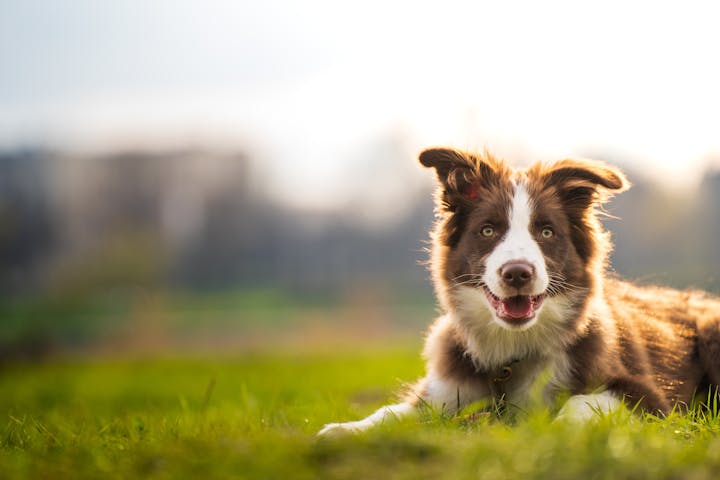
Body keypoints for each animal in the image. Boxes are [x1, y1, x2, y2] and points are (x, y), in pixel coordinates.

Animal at [320, 147, 720, 436]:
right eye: (487, 230)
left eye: (546, 231)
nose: (517, 274)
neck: (514, 349)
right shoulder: (446, 388)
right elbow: (394, 411)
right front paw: (343, 430)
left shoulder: (646, 394)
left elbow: (577, 405)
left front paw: (547, 430)